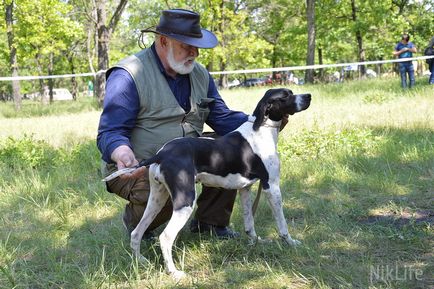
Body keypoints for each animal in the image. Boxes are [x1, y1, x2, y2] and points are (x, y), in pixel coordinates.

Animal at [116, 87, 308, 276]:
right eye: (285, 96)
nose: (308, 96)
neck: (260, 130)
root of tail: (162, 153)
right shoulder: (272, 187)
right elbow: (282, 224)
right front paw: (290, 242)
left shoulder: (245, 189)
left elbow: (249, 223)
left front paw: (255, 242)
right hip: (185, 201)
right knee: (165, 237)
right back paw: (174, 272)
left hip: (156, 200)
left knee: (136, 233)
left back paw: (141, 261)